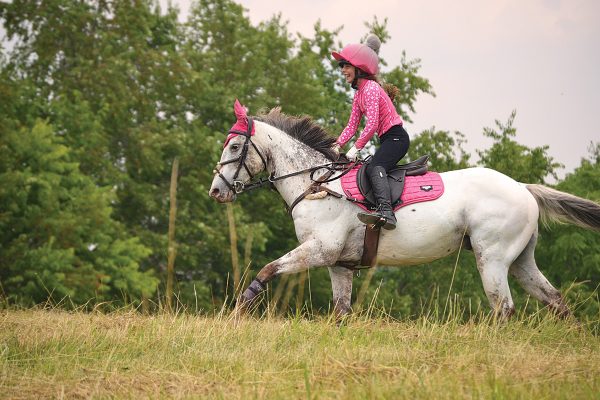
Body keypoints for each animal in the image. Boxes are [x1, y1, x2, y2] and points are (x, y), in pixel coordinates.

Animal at [210, 101, 600, 320]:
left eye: (234, 146)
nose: (216, 191)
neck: (316, 183)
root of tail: (522, 188)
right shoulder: (339, 263)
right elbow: (341, 312)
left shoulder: (320, 250)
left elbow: (267, 269)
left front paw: (239, 310)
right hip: (520, 260)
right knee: (555, 301)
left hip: (492, 258)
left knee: (502, 308)